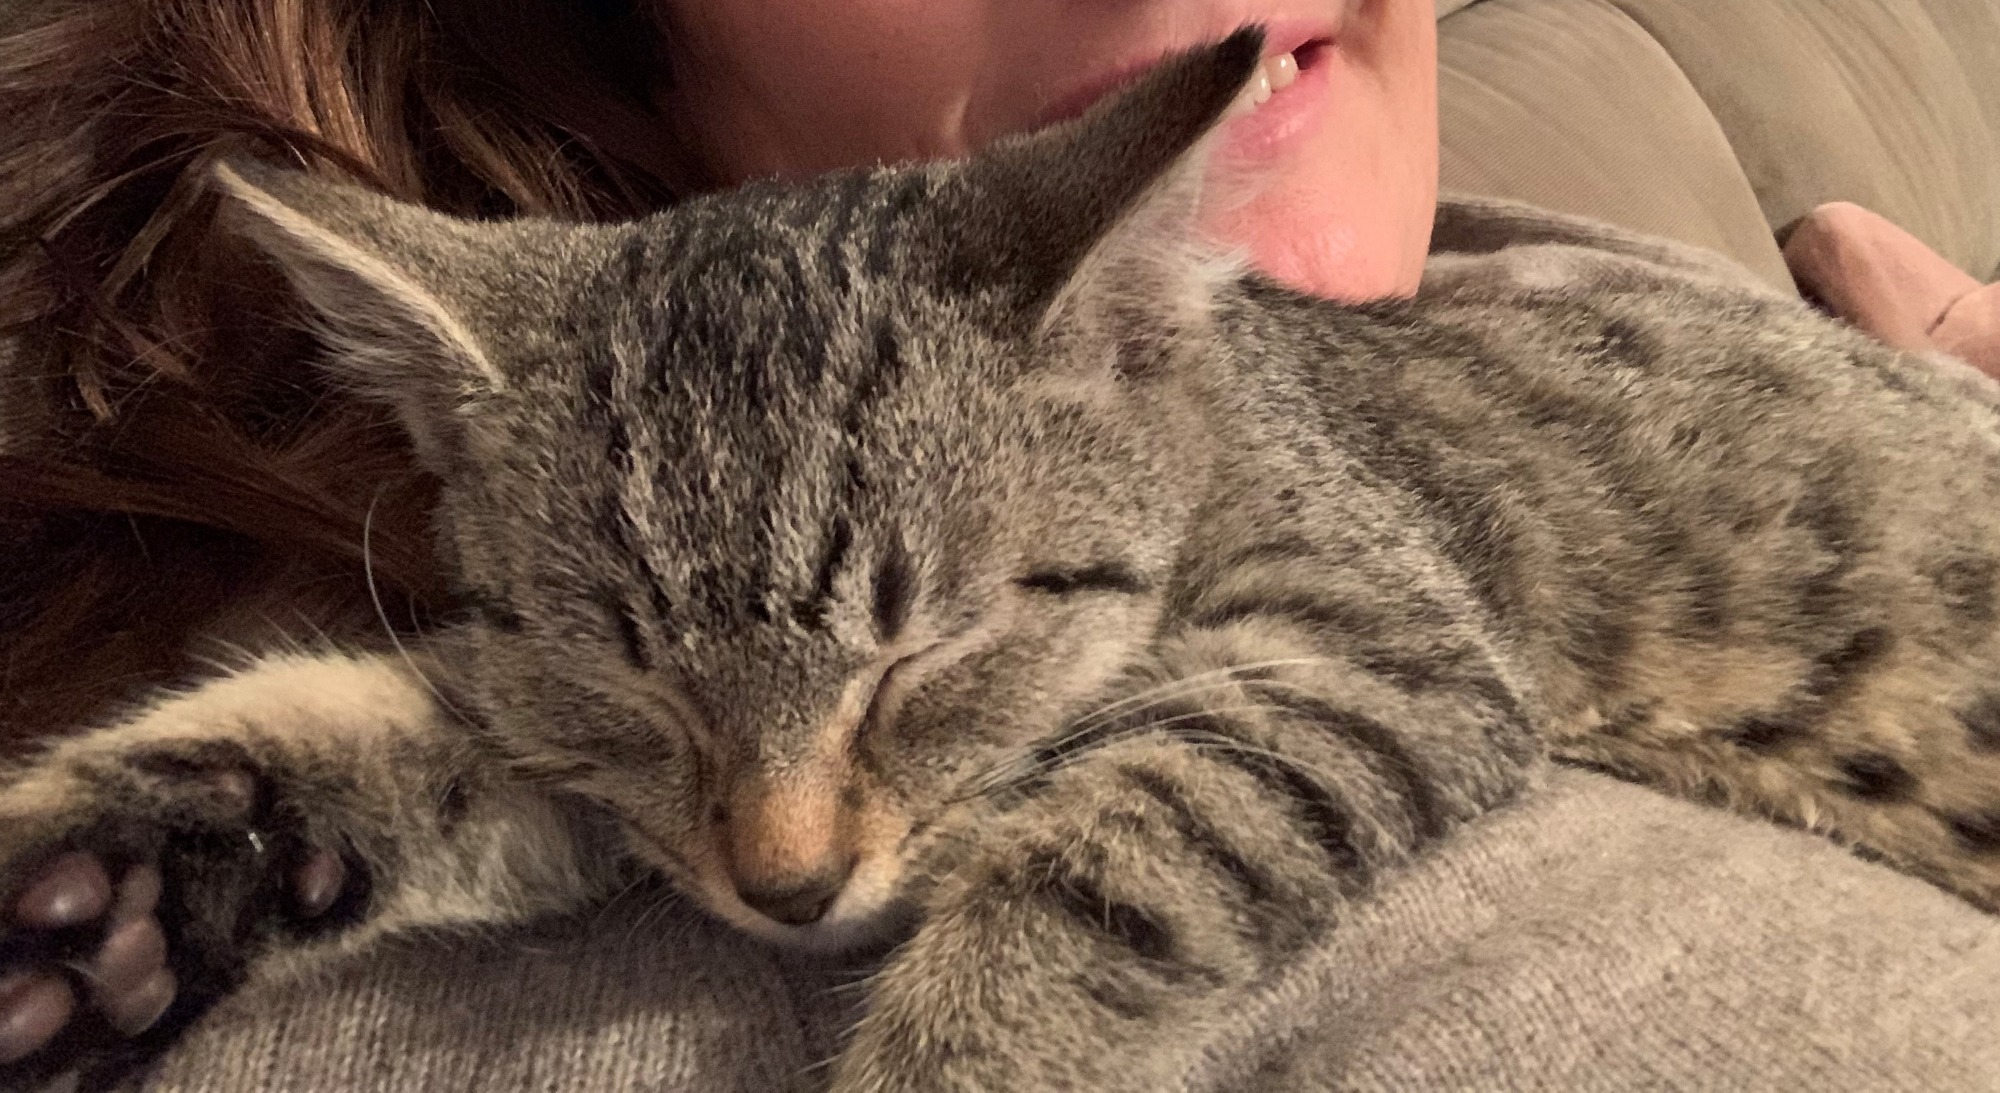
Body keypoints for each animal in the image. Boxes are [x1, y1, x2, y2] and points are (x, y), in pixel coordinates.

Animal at [7, 27, 2000, 1092]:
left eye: (924, 652)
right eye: (634, 681)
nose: (791, 886)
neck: (1206, 419)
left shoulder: (1383, 643)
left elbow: (1116, 853)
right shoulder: (574, 754)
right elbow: (375, 731)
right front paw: (113, 892)